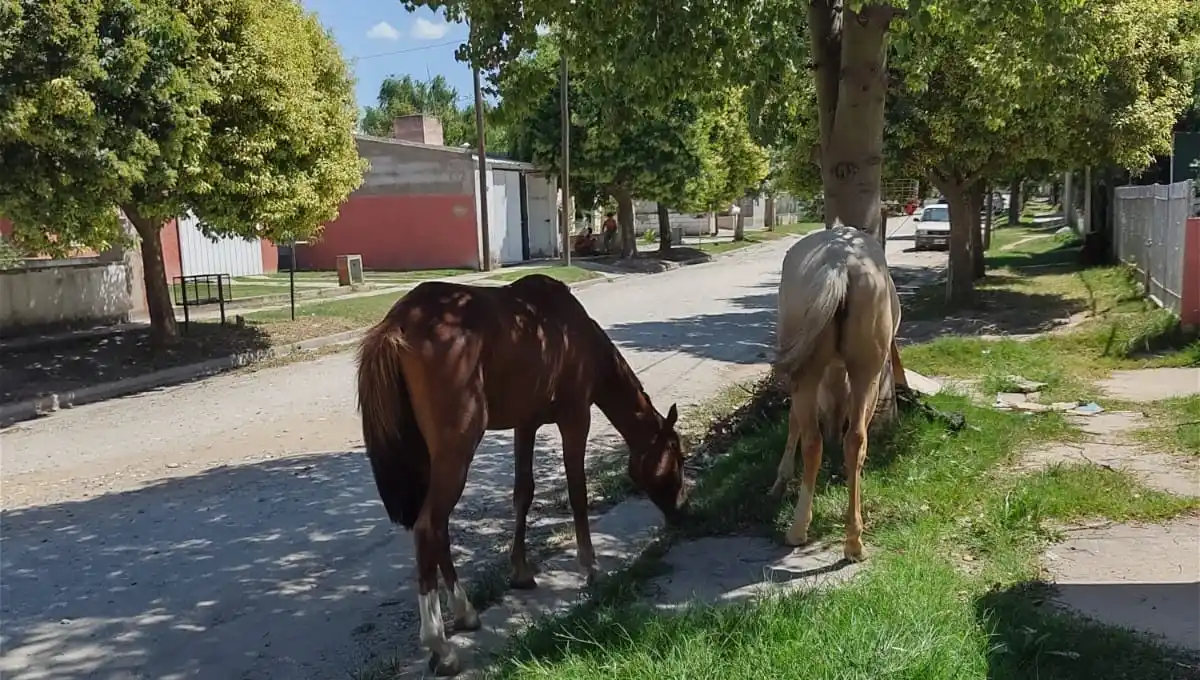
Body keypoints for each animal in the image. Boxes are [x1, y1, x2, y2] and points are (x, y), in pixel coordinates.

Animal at [355, 273, 688, 676]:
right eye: (679, 456)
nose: (684, 510)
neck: (574, 331)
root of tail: (397, 324)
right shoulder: (575, 417)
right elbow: (577, 491)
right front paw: (591, 568)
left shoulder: (526, 424)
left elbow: (523, 492)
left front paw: (521, 572)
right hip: (457, 447)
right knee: (428, 527)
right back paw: (441, 646)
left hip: (429, 456)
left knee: (438, 528)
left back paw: (465, 613)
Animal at [770, 226, 903, 563]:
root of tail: (839, 263)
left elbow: (796, 420)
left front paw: (781, 479)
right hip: (865, 370)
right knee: (853, 439)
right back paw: (852, 540)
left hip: (810, 370)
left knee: (817, 440)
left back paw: (801, 530)